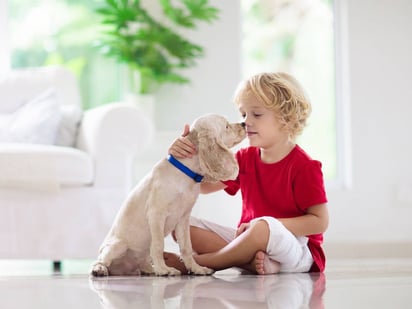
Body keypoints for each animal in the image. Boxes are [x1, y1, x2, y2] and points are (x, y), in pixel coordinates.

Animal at [90, 114, 245, 276]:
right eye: (226, 126)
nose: (244, 124)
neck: (186, 173)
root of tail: (122, 269)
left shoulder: (183, 218)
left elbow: (187, 247)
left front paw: (196, 268)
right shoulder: (156, 214)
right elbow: (159, 244)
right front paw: (164, 269)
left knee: (143, 263)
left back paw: (150, 270)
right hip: (117, 246)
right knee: (101, 260)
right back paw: (100, 269)